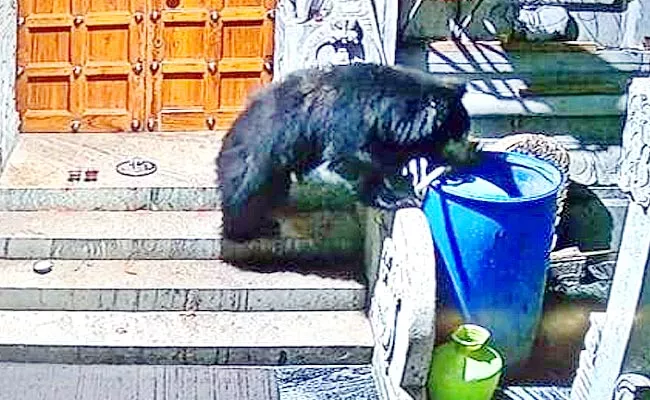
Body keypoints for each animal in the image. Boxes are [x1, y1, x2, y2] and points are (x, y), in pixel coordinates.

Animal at [215, 61, 474, 241]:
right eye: (455, 134)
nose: (470, 153)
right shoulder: (351, 119)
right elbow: (353, 158)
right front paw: (394, 198)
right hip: (262, 152)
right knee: (245, 189)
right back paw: (242, 229)